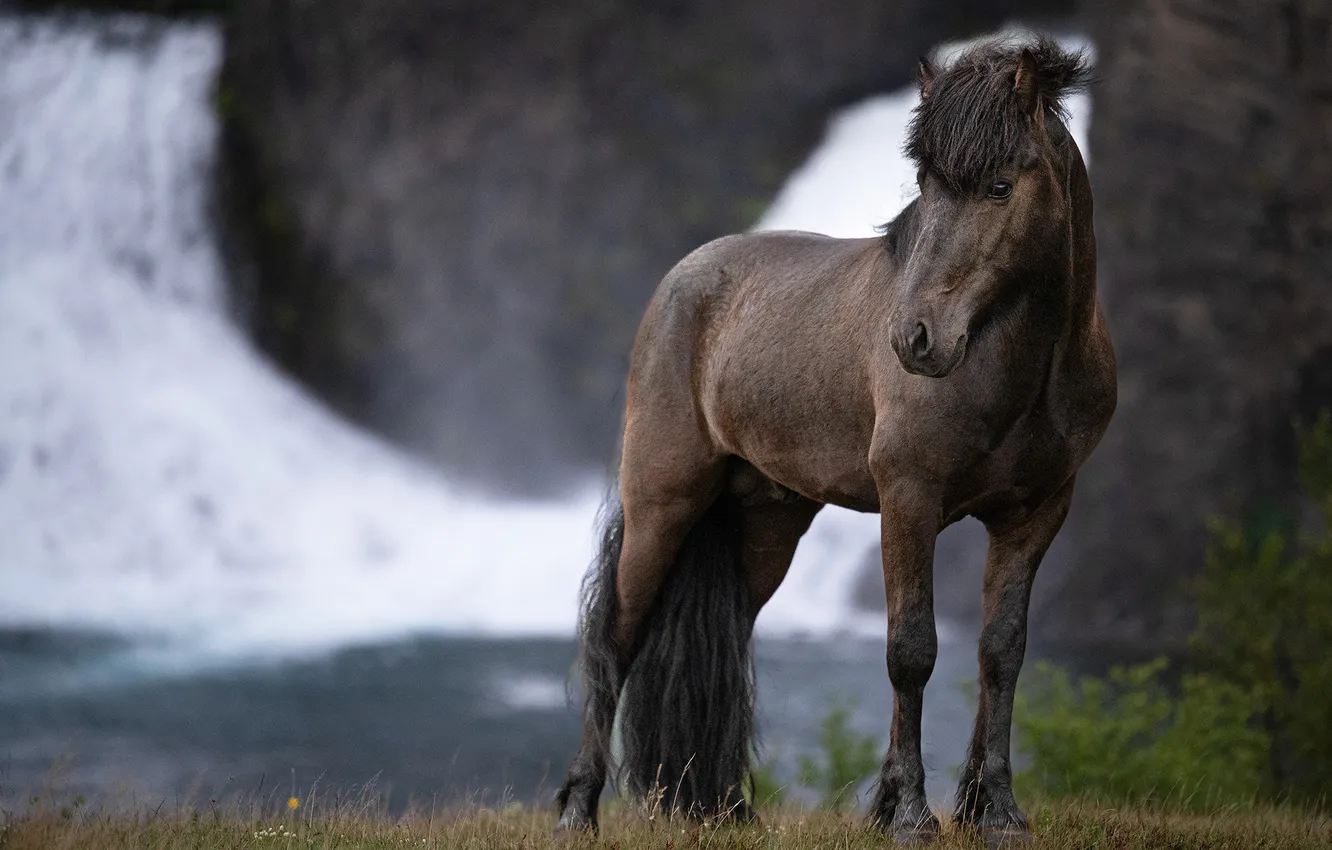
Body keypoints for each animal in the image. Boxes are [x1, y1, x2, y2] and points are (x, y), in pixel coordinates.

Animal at [554, 36, 1115, 847]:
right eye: (928, 183)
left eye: (1001, 186)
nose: (915, 339)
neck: (1022, 372)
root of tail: (682, 279)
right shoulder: (910, 501)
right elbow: (911, 650)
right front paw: (909, 814)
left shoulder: (1037, 513)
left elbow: (1000, 653)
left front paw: (996, 812)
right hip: (663, 502)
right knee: (617, 637)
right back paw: (578, 808)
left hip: (766, 521)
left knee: (730, 634)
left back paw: (725, 808)